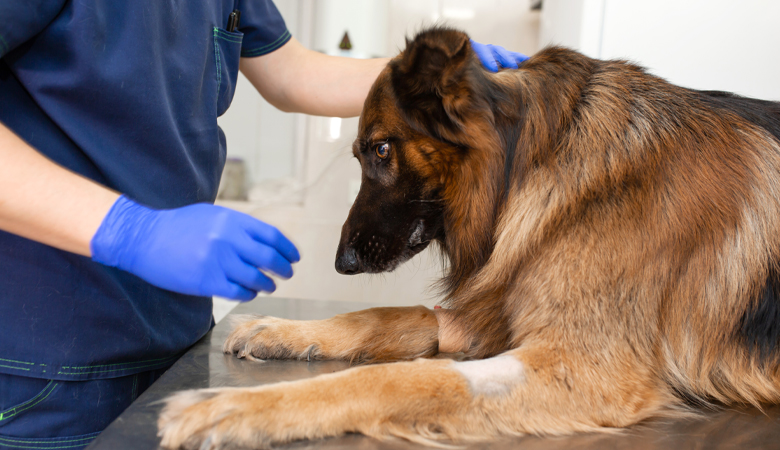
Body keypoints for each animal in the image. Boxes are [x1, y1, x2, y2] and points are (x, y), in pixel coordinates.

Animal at [155, 26, 780, 448]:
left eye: (381, 149)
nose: (342, 262)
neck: (536, 157)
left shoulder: (582, 371)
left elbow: (397, 380)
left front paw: (233, 408)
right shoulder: (490, 319)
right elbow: (389, 316)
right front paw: (287, 331)